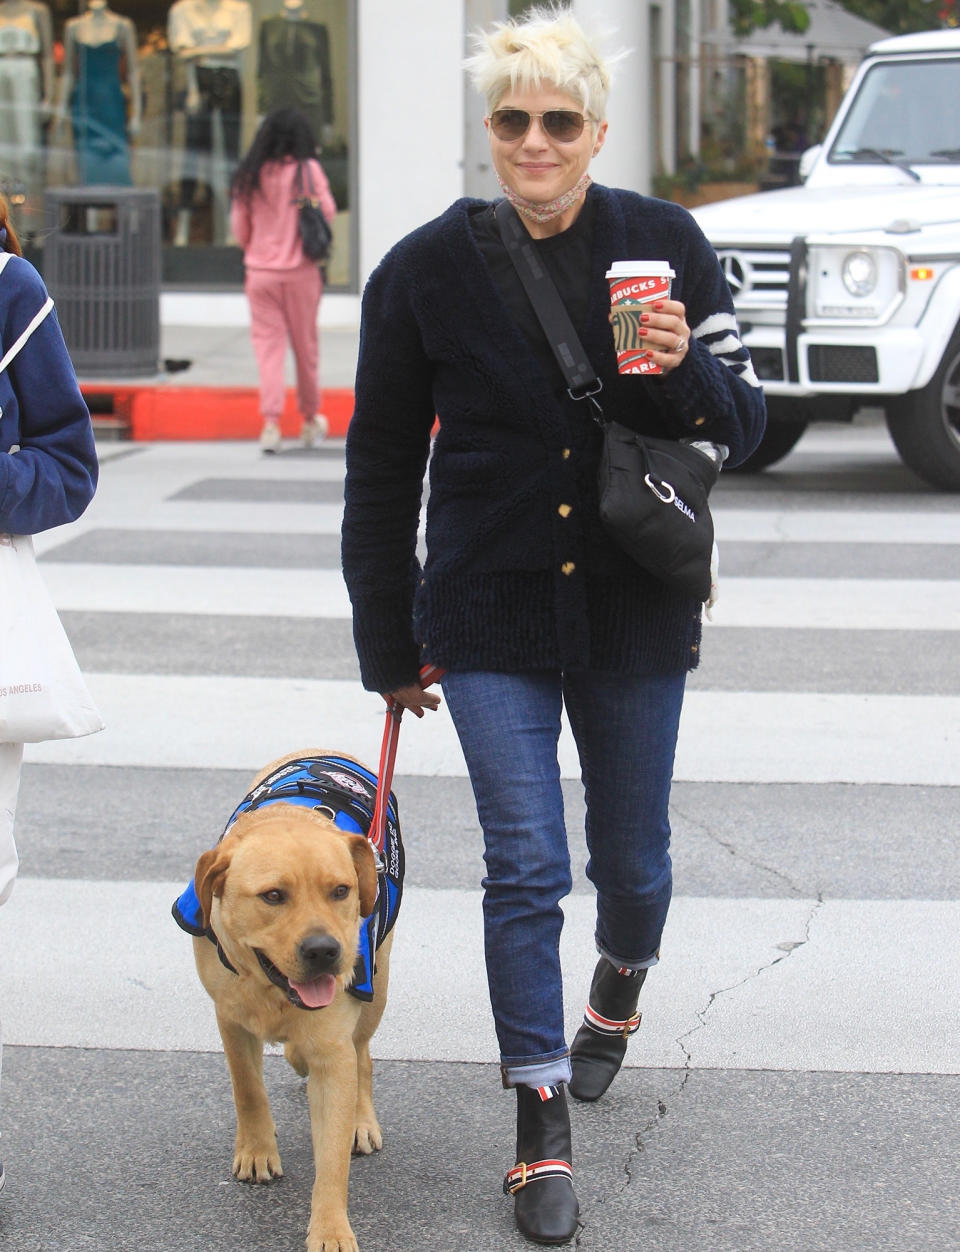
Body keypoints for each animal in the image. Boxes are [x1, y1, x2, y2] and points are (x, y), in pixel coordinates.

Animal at [177, 751, 400, 1252]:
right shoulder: (229, 1018)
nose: (324, 951)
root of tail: (334, 753)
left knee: (362, 1055)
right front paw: (258, 1150)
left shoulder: (333, 1047)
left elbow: (332, 1158)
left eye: (340, 891)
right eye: (273, 896)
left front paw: (331, 1228)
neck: (271, 990)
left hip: (376, 986)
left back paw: (360, 1116)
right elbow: (247, 1088)